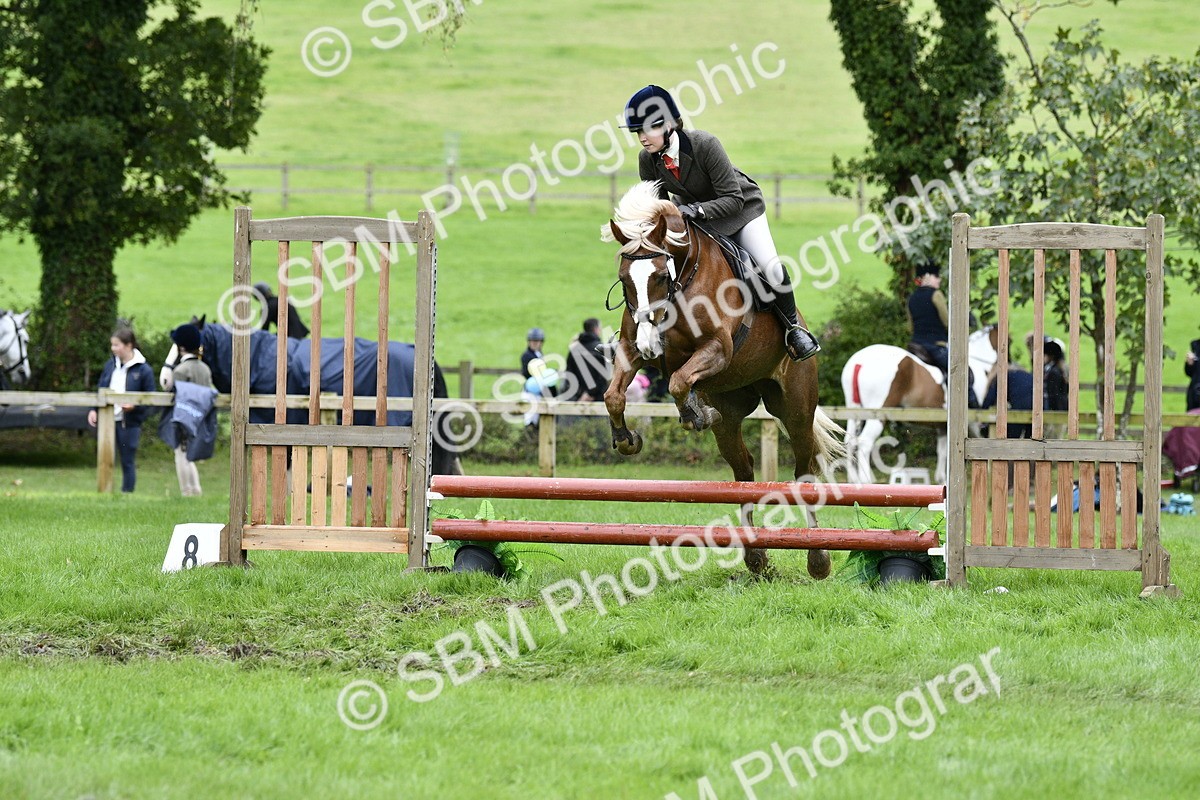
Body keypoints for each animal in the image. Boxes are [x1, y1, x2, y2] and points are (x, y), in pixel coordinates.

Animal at [600, 181, 844, 579]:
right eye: (624, 280)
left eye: (660, 276)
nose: (650, 344)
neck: (683, 280)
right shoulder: (631, 349)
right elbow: (615, 395)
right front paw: (626, 439)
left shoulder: (718, 347)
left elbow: (678, 382)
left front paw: (693, 415)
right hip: (730, 416)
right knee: (743, 473)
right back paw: (756, 557)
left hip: (796, 408)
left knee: (804, 472)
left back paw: (818, 558)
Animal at [840, 327, 1000, 485]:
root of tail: (859, 362)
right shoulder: (973, 424)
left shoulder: (943, 427)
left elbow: (942, 452)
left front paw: (942, 480)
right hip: (878, 414)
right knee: (865, 443)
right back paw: (866, 480)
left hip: (854, 412)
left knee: (849, 442)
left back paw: (854, 480)